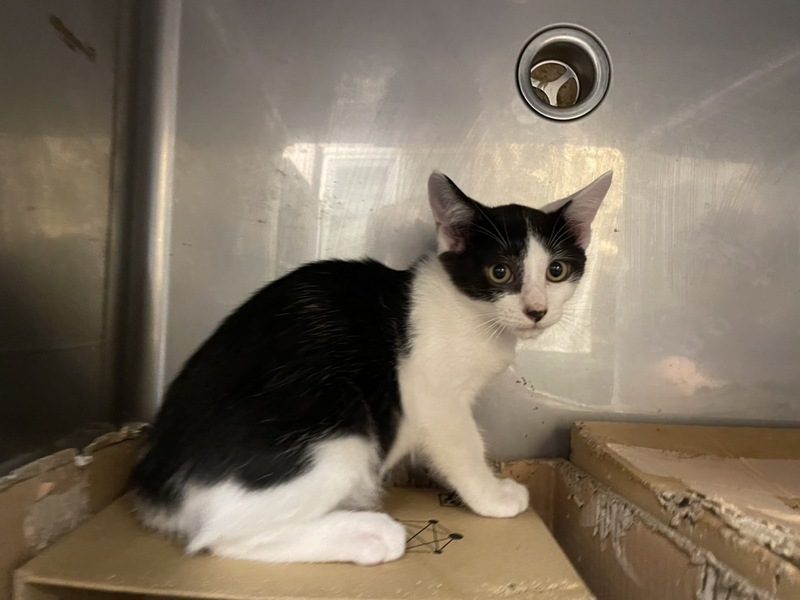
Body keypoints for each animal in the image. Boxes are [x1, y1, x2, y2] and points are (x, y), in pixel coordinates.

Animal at [131, 170, 612, 565]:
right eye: (499, 272)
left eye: (556, 271)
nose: (536, 311)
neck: (471, 312)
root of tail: (156, 479)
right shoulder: (433, 397)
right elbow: (464, 446)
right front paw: (491, 496)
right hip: (338, 427)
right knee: (222, 536)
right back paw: (369, 535)